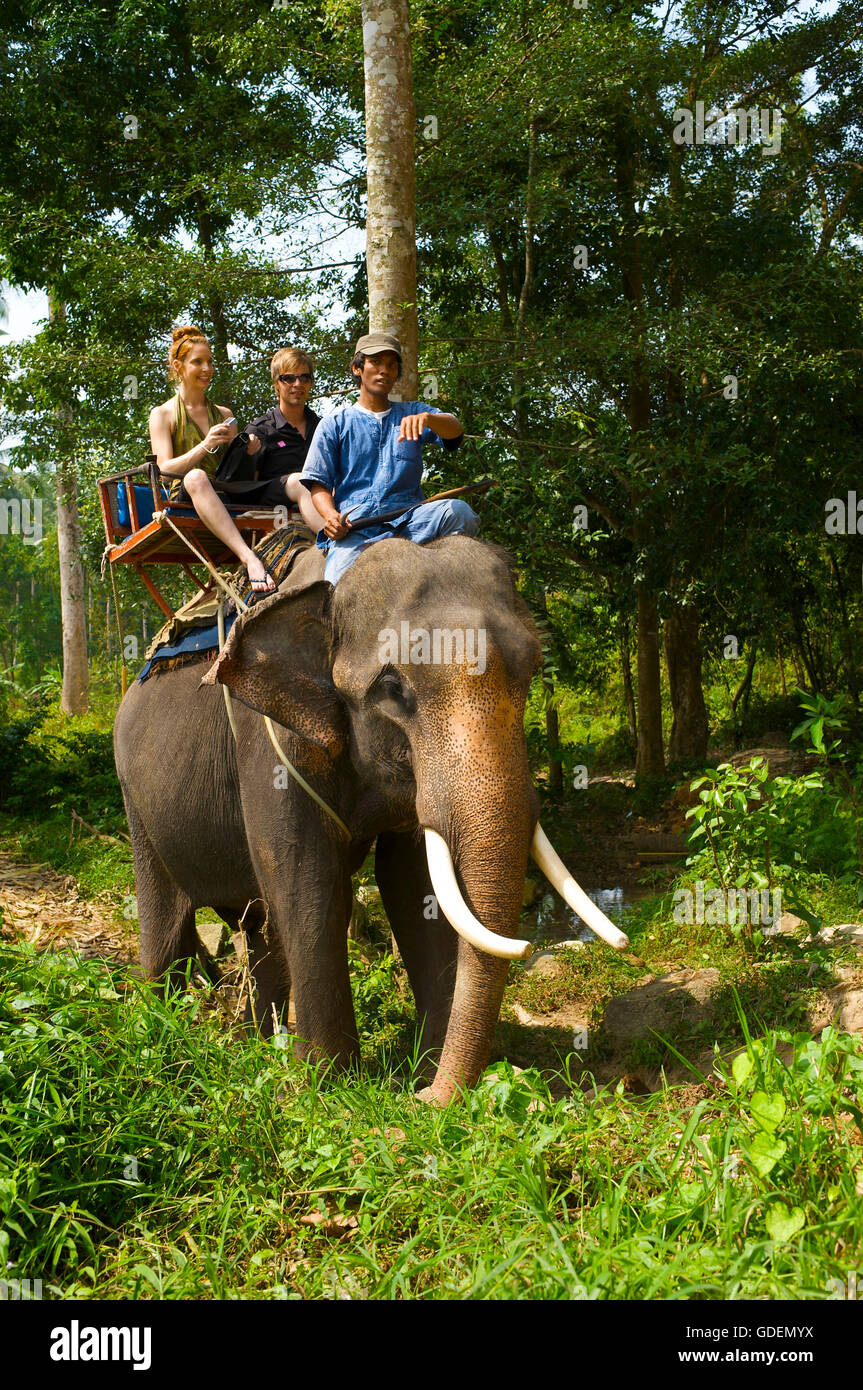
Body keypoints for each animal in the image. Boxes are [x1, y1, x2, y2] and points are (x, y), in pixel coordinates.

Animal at [113, 534, 627, 1105]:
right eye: (393, 688)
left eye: (532, 670)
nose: (422, 1100)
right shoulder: (268, 739)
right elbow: (304, 880)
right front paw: (329, 1087)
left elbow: (413, 886)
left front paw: (423, 1069)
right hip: (134, 799)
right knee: (167, 920)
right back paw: (164, 1029)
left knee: (257, 926)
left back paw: (255, 1043)